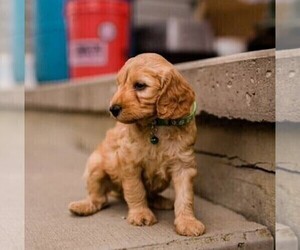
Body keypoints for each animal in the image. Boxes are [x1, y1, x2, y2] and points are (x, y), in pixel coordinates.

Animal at [68, 52, 205, 236]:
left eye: (140, 85)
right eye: (119, 85)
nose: (113, 109)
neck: (156, 125)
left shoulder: (183, 165)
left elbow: (185, 197)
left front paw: (187, 222)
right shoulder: (130, 163)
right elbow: (136, 190)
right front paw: (141, 214)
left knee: (150, 194)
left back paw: (160, 201)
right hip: (95, 165)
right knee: (99, 197)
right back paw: (82, 206)